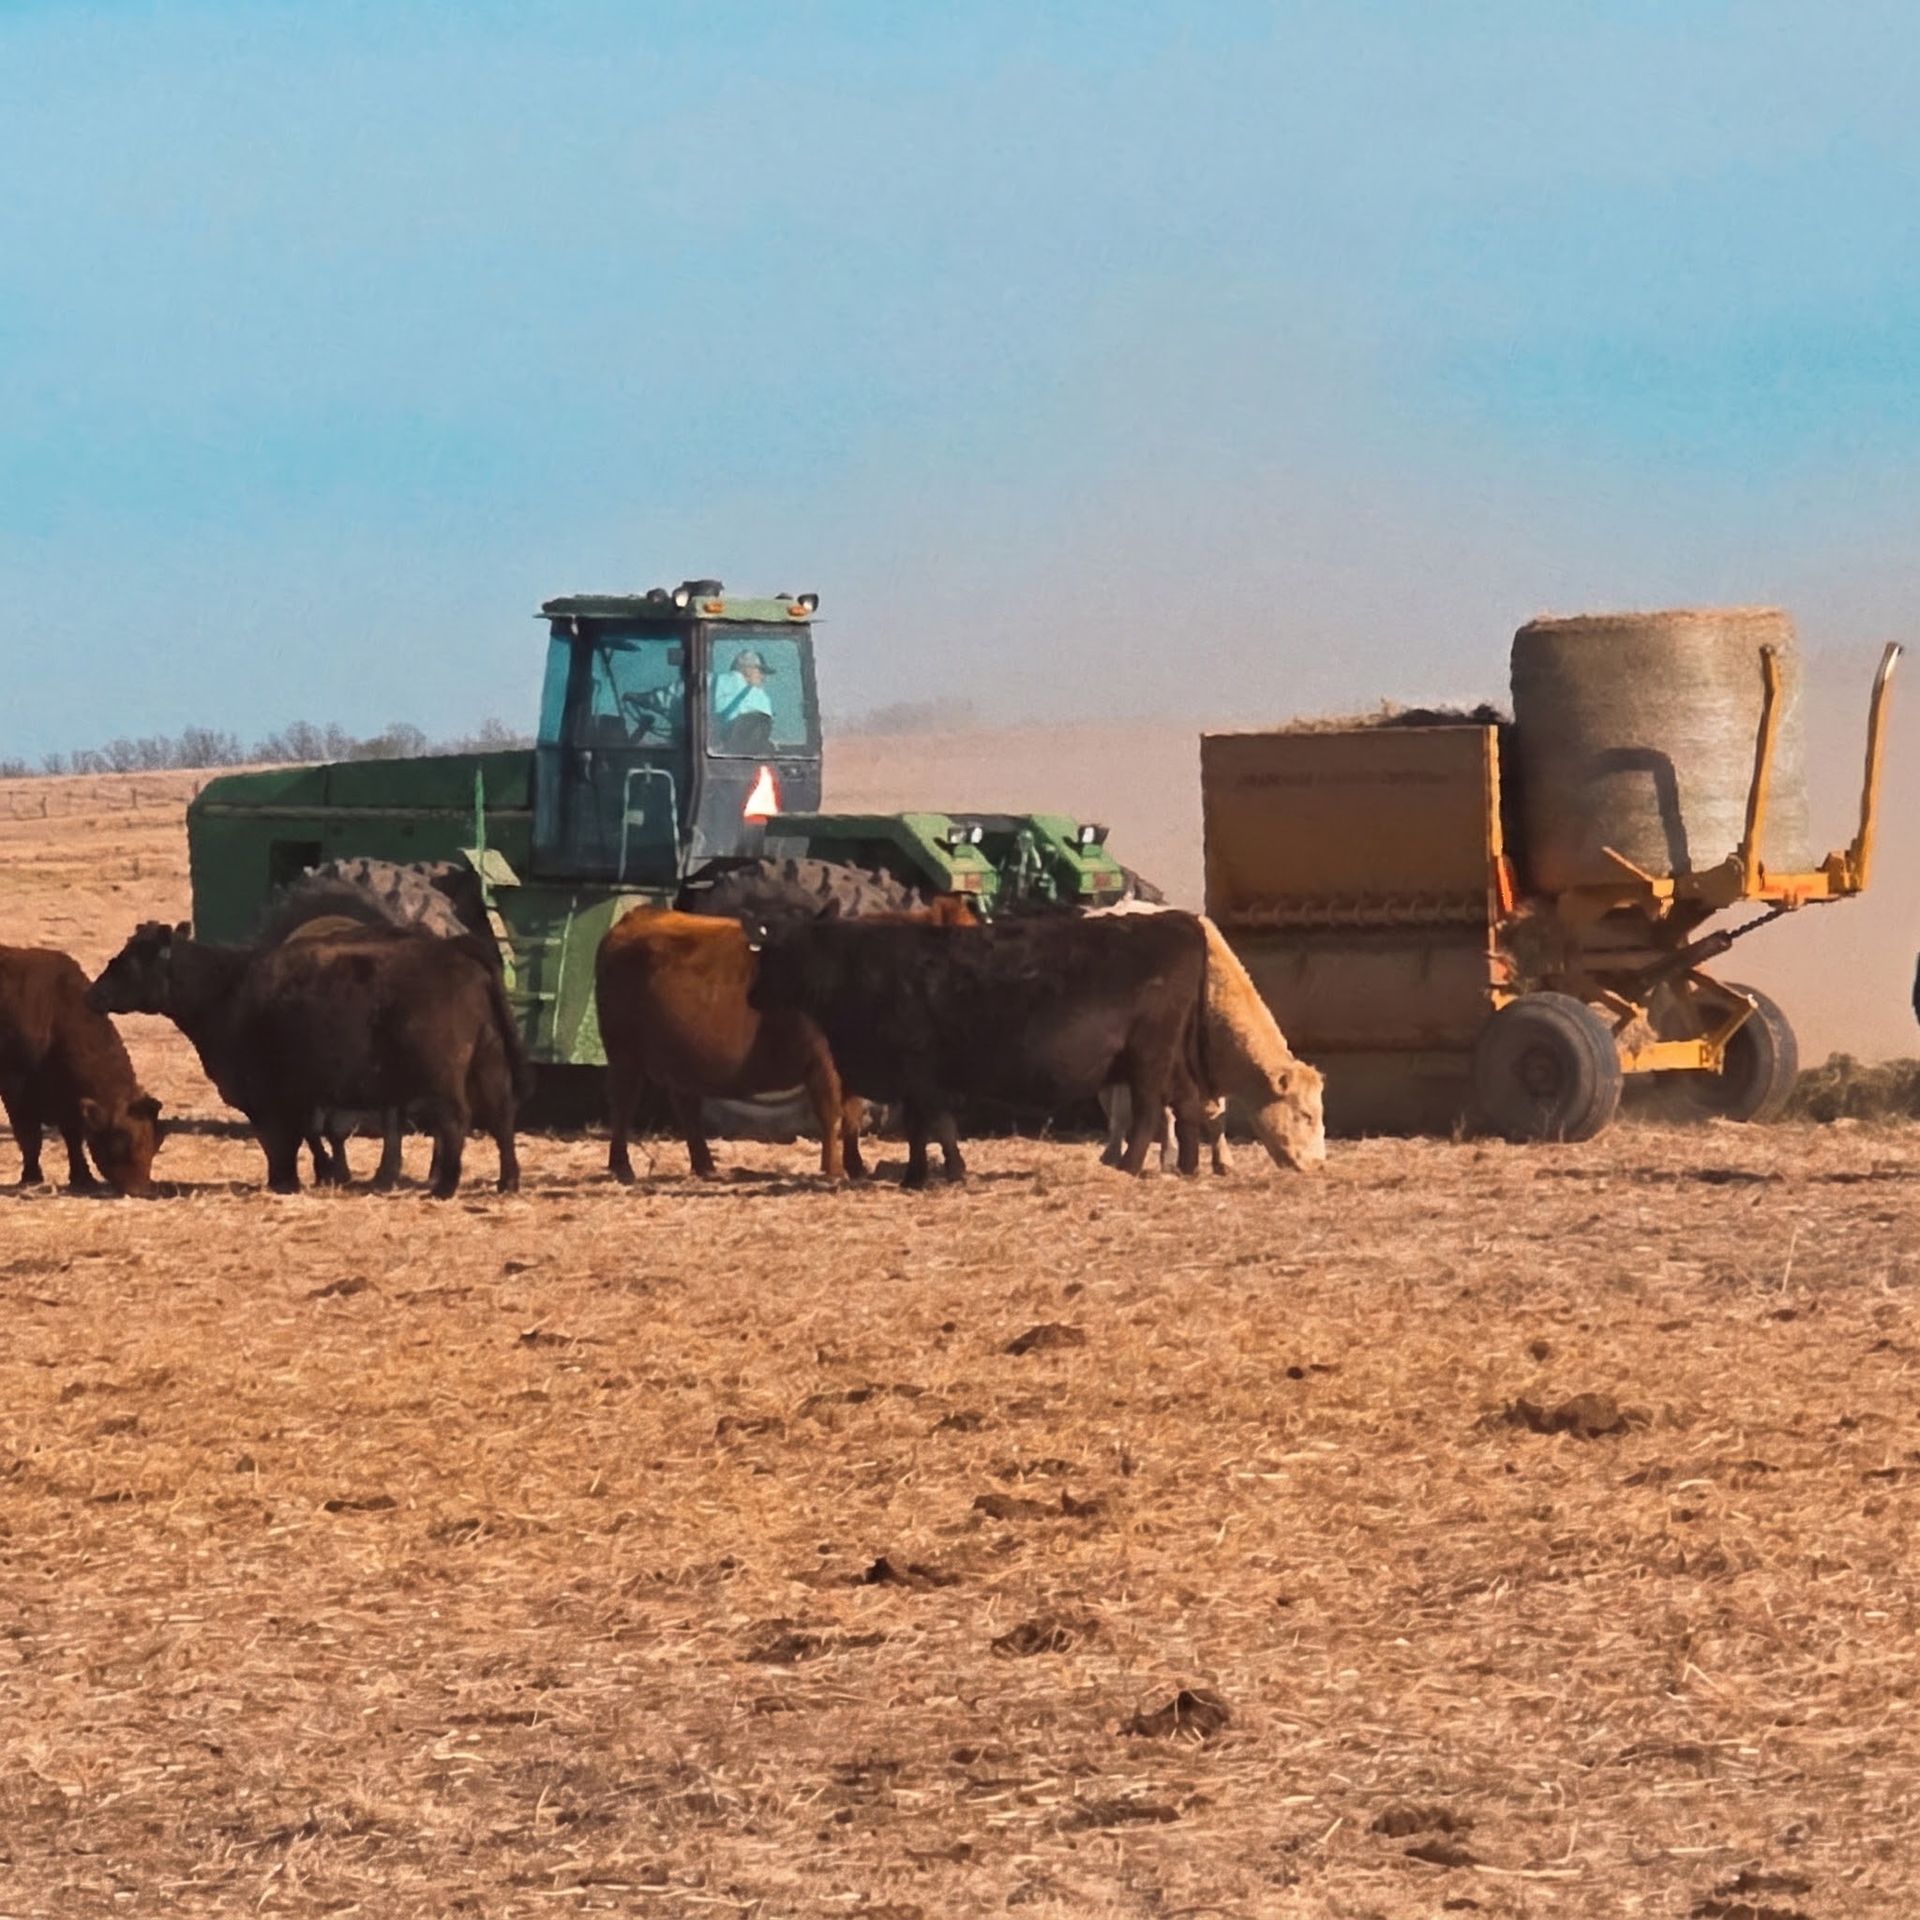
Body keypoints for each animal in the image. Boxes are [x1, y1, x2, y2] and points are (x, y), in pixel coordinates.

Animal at [0, 946, 165, 1195]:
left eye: (155, 1143)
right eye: (121, 1140)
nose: (141, 1190)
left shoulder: (68, 1100)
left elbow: (73, 1137)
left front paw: (82, 1177)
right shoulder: (16, 1089)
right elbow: (29, 1136)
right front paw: (31, 1177)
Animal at [89, 922, 529, 1197]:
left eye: (128, 960)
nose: (94, 993)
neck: (225, 987)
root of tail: (457, 951)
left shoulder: (266, 1096)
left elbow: (279, 1141)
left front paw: (285, 1181)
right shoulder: (301, 1094)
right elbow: (308, 1134)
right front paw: (322, 1173)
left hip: (442, 1077)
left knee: (456, 1122)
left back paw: (445, 1186)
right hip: (488, 1064)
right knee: (503, 1117)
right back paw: (507, 1181)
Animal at [747, 912, 1211, 1187]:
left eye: (775, 956)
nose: (751, 995)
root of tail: (1176, 921)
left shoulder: (921, 1074)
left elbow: (939, 1127)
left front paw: (951, 1171)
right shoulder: (912, 1083)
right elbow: (919, 1131)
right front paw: (915, 1176)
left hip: (1148, 1057)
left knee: (1149, 1111)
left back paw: (1130, 1166)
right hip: (1167, 1060)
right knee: (1188, 1101)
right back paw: (1189, 1167)